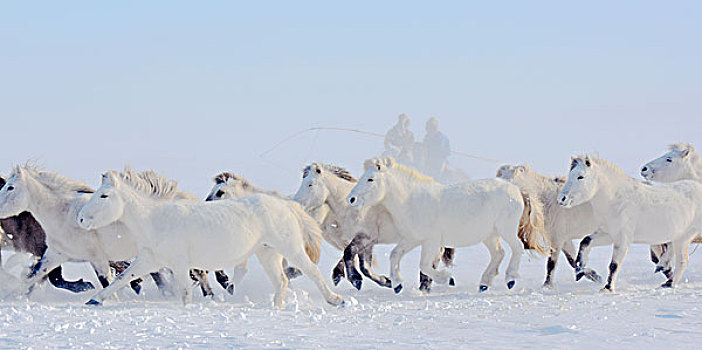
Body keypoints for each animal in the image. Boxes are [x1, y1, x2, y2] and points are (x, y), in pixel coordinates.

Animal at [78, 171, 346, 308]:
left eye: (104, 195)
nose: (80, 219)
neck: (155, 220)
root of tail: (286, 205)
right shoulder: (149, 260)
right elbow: (122, 278)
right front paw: (94, 300)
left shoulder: (179, 264)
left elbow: (185, 292)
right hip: (267, 252)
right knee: (282, 281)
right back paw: (275, 307)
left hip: (290, 247)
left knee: (311, 271)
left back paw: (336, 300)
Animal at [350, 157, 548, 292]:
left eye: (370, 179)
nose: (351, 199)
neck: (413, 201)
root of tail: (517, 190)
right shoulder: (412, 239)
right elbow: (394, 255)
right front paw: (397, 284)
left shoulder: (431, 241)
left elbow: (424, 265)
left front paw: (447, 279)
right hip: (489, 235)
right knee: (499, 253)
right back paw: (484, 283)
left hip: (506, 229)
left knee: (517, 248)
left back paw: (510, 279)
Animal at [564, 155, 702, 290]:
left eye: (580, 176)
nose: (562, 198)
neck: (616, 199)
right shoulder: (608, 234)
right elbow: (585, 241)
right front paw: (580, 270)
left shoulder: (623, 239)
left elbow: (614, 264)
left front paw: (608, 287)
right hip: (682, 236)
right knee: (681, 259)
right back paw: (665, 277)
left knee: (681, 260)